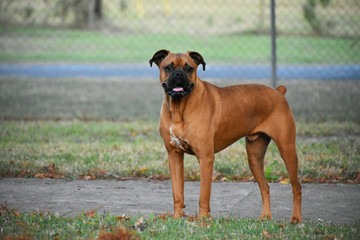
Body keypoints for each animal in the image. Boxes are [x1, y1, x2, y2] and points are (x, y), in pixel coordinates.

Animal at [148, 49, 300, 224]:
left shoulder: (205, 158)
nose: (179, 75)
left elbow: (204, 195)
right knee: (265, 187)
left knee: (297, 187)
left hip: (287, 150)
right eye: (169, 67)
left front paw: (202, 220)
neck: (179, 108)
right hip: (254, 157)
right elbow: (177, 193)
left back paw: (296, 219)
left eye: (189, 68)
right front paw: (177, 218)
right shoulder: (174, 156)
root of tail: (278, 92)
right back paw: (265, 217)